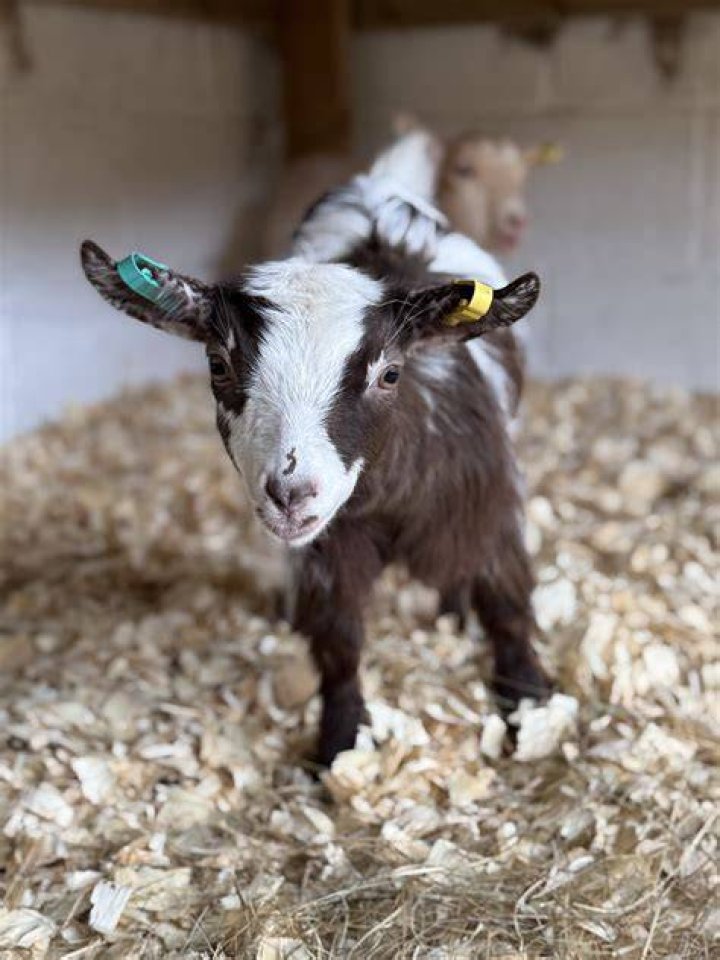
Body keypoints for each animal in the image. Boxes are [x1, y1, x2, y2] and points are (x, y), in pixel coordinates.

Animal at [80, 133, 551, 767]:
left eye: (390, 373)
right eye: (219, 364)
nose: (291, 493)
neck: (385, 495)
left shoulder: (486, 503)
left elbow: (507, 604)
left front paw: (530, 704)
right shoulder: (327, 554)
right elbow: (338, 640)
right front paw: (340, 743)